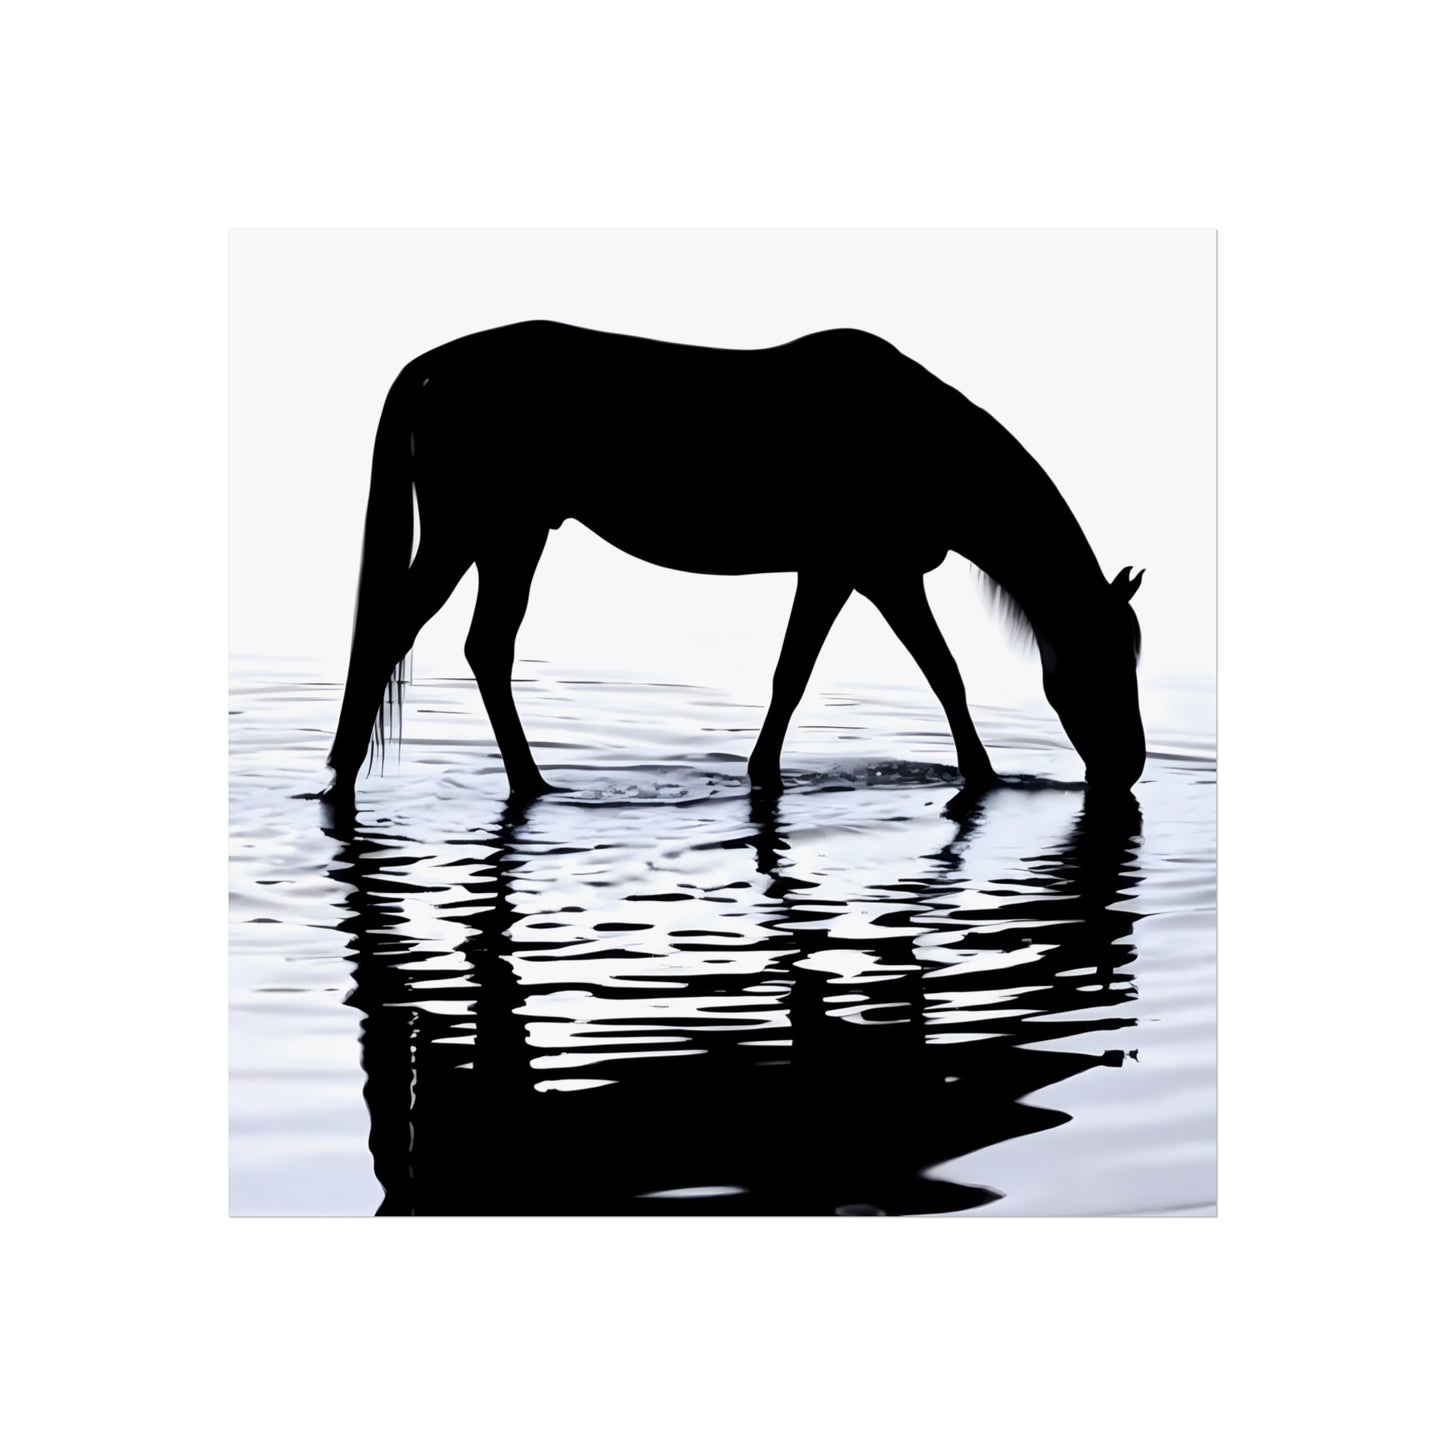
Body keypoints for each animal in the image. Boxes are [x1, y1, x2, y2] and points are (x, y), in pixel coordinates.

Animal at [318, 320, 1145, 804]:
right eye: (1105, 659)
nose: (1128, 766)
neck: (920, 441)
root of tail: (437, 366)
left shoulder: (865, 573)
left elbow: (859, 673)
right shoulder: (862, 571)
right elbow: (903, 672)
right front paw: (984, 775)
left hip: (512, 538)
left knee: (486, 647)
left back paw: (530, 781)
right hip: (471, 532)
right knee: (394, 630)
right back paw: (342, 778)